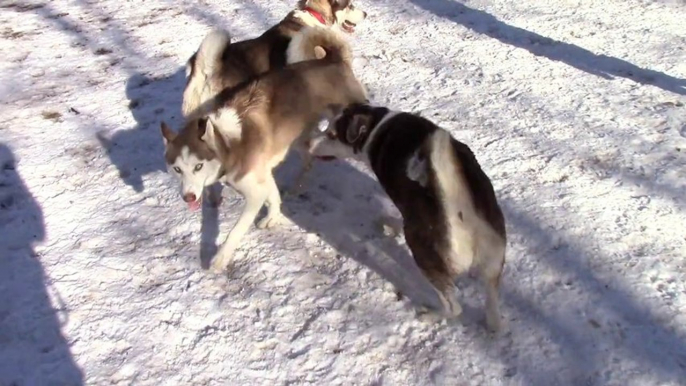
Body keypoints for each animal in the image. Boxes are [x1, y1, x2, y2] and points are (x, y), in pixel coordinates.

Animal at [310, 104, 508, 330]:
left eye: (332, 135)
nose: (309, 143)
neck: (377, 126)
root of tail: (465, 218)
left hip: (423, 253)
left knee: (454, 308)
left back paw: (431, 315)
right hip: (493, 264)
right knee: (492, 309)